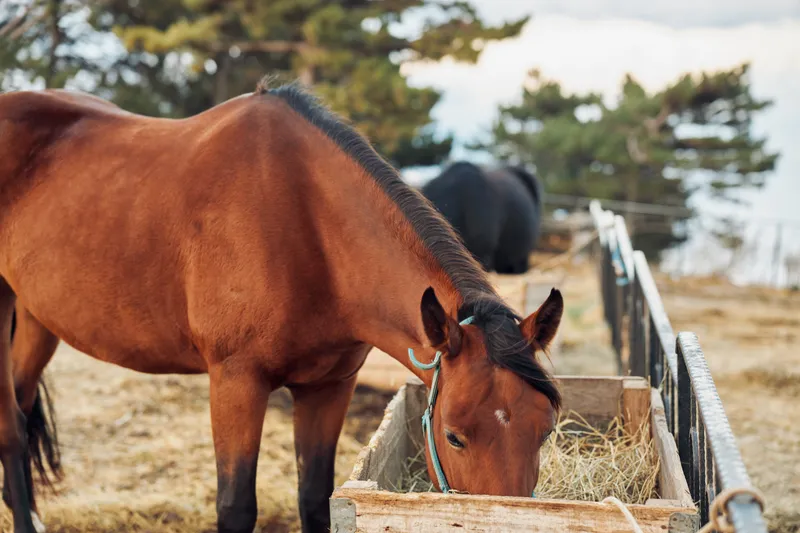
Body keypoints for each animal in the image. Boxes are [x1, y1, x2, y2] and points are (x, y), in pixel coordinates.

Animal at [0, 80, 563, 533]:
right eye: (454, 436)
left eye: (545, 431)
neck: (305, 219)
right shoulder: (236, 383)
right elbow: (235, 508)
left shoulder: (328, 387)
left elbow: (315, 498)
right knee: (10, 428)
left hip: (37, 320)